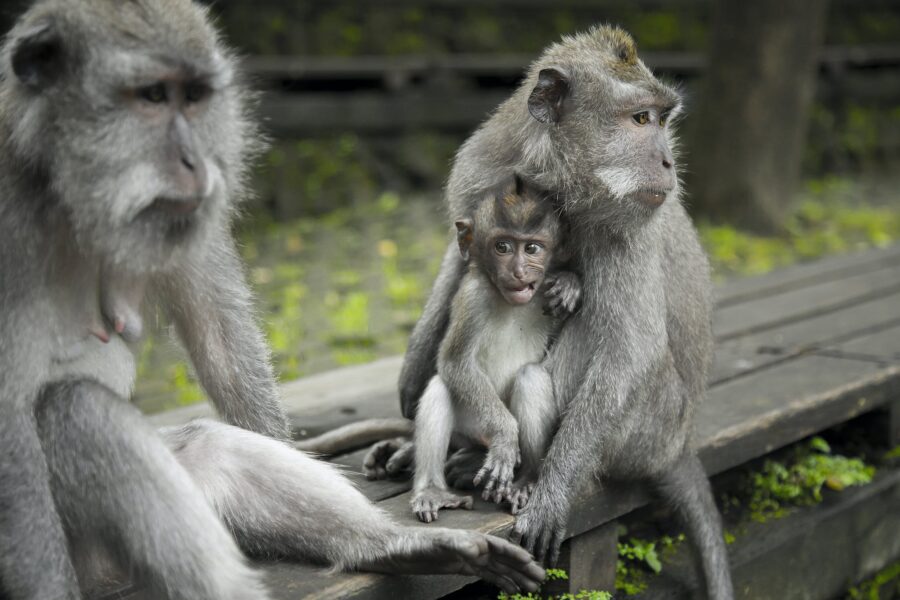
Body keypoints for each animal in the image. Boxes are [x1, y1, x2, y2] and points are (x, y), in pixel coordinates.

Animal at [0, 2, 545, 599]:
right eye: (152, 96)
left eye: (194, 97)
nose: (195, 161)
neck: (62, 186)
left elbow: (222, 347)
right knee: (79, 410)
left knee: (205, 447)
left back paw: (393, 546)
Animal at [411, 175, 581, 523]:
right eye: (502, 247)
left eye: (532, 248)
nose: (518, 272)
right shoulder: (472, 297)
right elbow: (455, 363)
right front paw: (504, 438)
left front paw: (570, 284)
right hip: (473, 426)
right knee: (441, 387)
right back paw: (433, 490)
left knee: (531, 377)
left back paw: (526, 479)